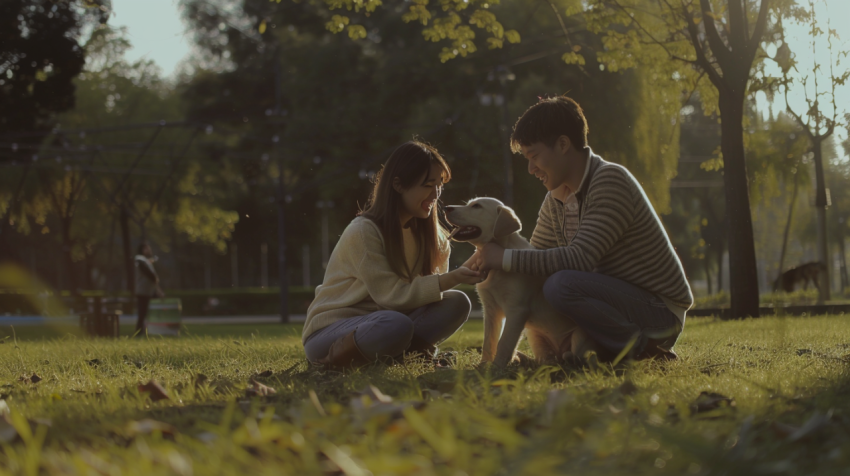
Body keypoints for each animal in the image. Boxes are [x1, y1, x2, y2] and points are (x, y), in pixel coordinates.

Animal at [444, 197, 596, 368]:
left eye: (476, 206)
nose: (446, 208)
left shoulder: (516, 310)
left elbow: (505, 342)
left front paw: (497, 367)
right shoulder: (490, 309)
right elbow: (489, 340)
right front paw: (484, 365)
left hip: (579, 338)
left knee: (578, 357)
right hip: (535, 336)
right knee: (547, 360)